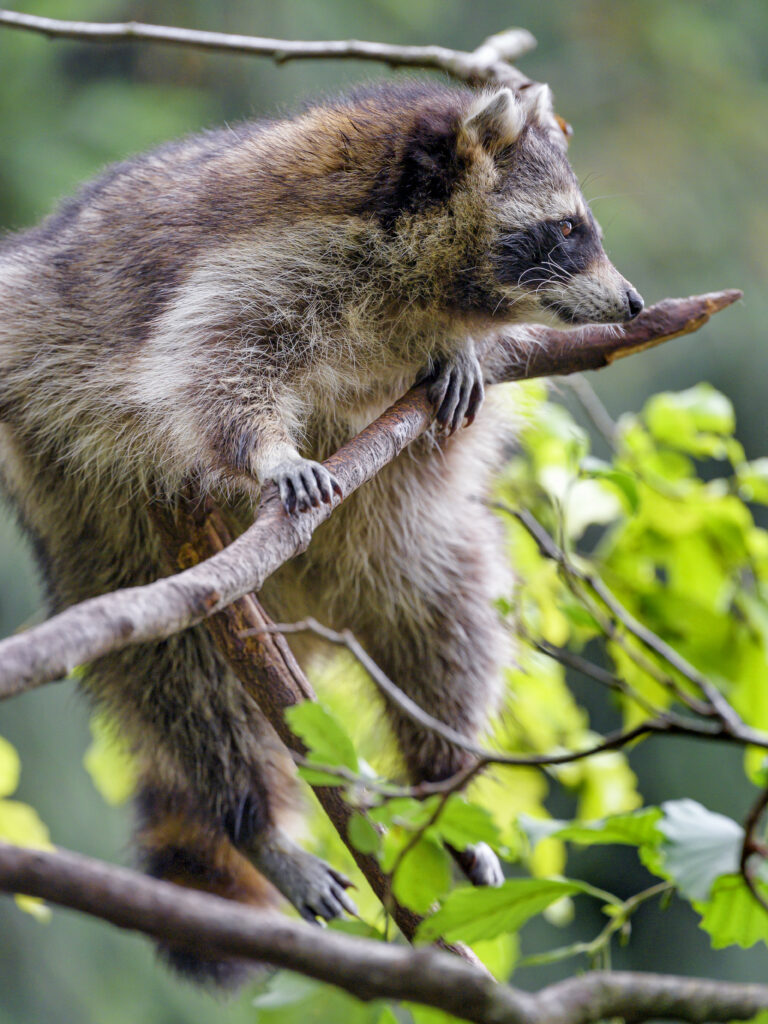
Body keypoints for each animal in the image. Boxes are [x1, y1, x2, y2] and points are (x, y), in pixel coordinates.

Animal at [0, 80, 642, 981]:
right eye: (570, 229)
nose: (635, 305)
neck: (432, 278)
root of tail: (307, 607)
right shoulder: (265, 262)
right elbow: (209, 364)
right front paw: (267, 451)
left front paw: (456, 354)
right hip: (106, 532)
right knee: (185, 682)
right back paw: (251, 819)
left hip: (401, 555)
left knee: (448, 625)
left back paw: (441, 783)